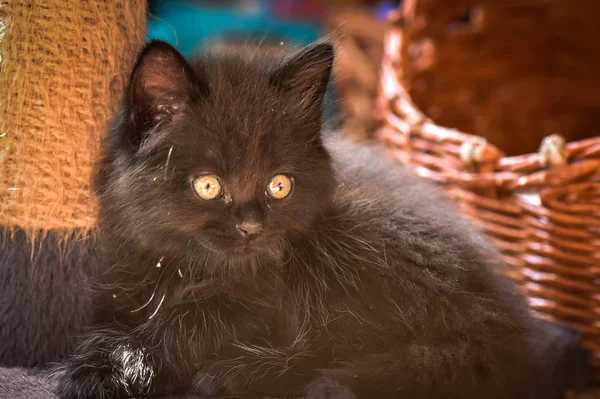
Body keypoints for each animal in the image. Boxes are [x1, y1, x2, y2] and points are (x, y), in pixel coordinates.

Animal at [54, 39, 584, 399]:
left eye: (279, 185)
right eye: (207, 185)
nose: (251, 227)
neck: (184, 269)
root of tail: (501, 324)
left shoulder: (260, 302)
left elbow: (192, 322)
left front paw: (107, 371)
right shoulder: (118, 281)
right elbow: (114, 321)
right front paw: (105, 357)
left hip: (346, 243)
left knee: (331, 350)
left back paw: (236, 375)